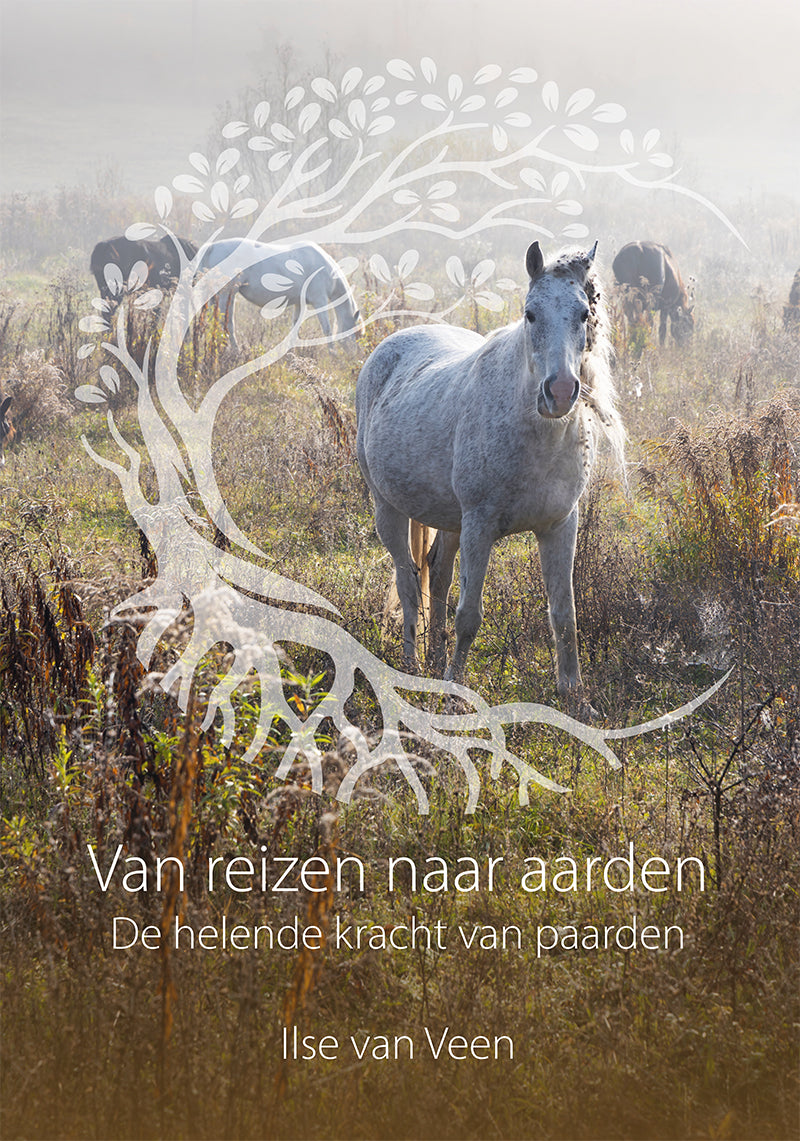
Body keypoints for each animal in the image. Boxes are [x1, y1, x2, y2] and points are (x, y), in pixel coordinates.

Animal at [198, 239, 361, 351]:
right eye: (358, 334)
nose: (355, 358)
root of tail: (212, 247)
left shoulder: (299, 304)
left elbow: (295, 327)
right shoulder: (319, 301)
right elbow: (326, 329)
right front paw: (333, 353)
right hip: (227, 294)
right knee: (225, 323)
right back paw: (233, 350)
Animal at [357, 240, 624, 707]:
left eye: (583, 313)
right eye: (530, 314)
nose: (559, 393)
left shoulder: (560, 525)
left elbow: (564, 614)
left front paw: (574, 695)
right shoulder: (479, 526)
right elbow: (469, 615)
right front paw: (454, 693)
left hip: (449, 521)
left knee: (437, 576)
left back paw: (433, 659)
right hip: (387, 508)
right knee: (408, 583)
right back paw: (412, 665)